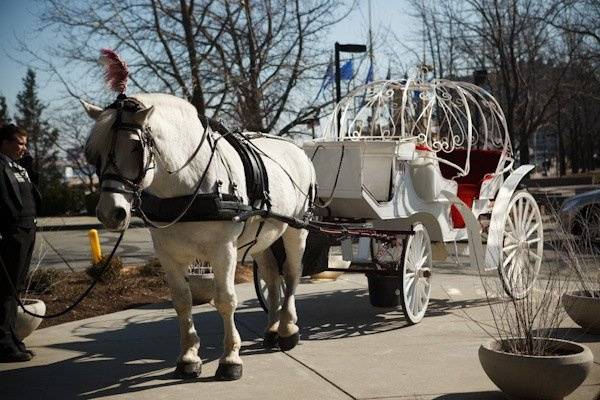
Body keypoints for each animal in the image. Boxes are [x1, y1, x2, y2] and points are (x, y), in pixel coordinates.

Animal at [81, 92, 316, 380]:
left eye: (136, 147)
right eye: (95, 153)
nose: (109, 213)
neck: (187, 184)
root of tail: (297, 150)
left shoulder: (223, 250)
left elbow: (225, 300)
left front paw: (230, 359)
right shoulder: (168, 254)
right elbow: (183, 302)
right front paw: (189, 357)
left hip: (296, 228)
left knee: (291, 274)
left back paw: (287, 329)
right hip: (264, 237)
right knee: (272, 278)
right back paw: (272, 330)